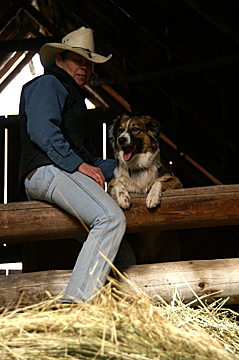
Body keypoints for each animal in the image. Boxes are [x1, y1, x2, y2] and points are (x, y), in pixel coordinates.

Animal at [108, 115, 183, 264]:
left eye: (135, 129)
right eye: (120, 130)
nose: (121, 139)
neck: (137, 167)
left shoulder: (175, 181)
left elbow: (158, 182)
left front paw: (152, 198)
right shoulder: (111, 185)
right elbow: (118, 184)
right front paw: (124, 198)